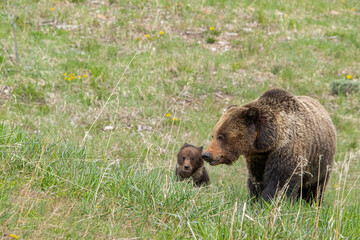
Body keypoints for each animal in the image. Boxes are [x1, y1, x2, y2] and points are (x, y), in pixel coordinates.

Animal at [201, 88, 336, 202]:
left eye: (221, 136)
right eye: (214, 135)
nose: (206, 154)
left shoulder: (286, 149)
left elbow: (279, 182)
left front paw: (269, 201)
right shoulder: (258, 158)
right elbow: (256, 180)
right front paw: (255, 199)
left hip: (320, 160)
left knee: (315, 186)